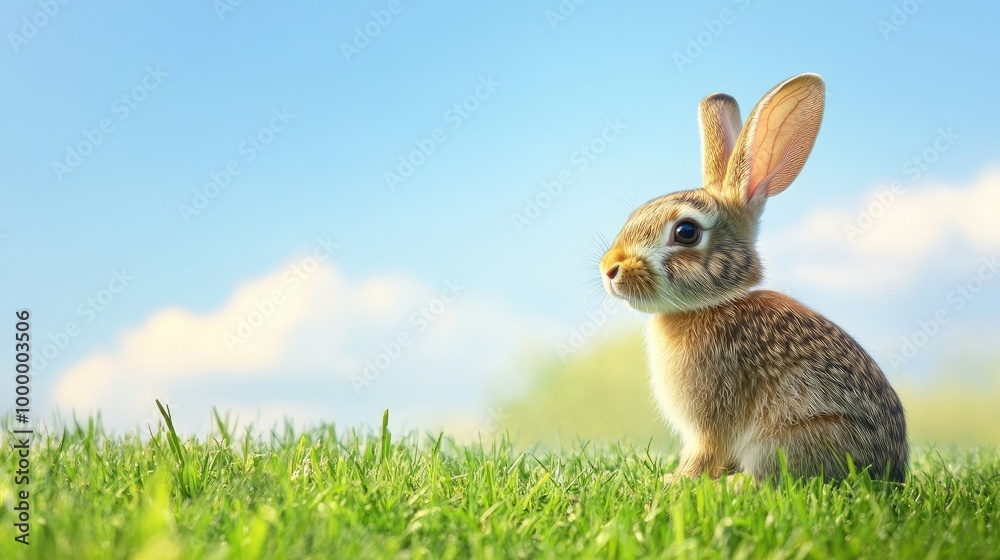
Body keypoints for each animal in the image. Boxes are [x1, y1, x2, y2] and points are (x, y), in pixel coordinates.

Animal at [599, 73, 907, 482]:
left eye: (686, 232)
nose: (609, 269)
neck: (711, 305)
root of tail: (891, 473)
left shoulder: (711, 422)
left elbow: (704, 453)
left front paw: (675, 481)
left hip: (787, 438)